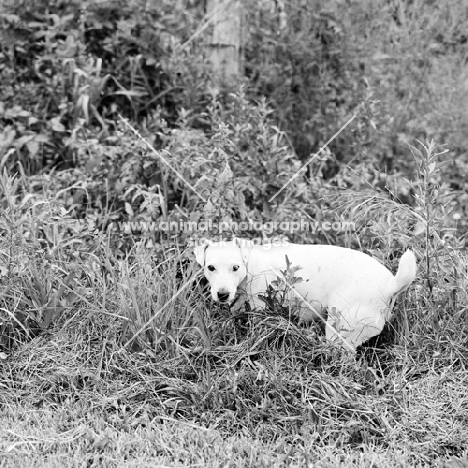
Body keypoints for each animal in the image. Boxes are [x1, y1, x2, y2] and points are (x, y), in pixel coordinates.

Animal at [194, 241, 416, 352]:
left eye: (235, 267)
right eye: (210, 267)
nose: (222, 294)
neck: (251, 265)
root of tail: (390, 285)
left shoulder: (260, 307)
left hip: (339, 328)